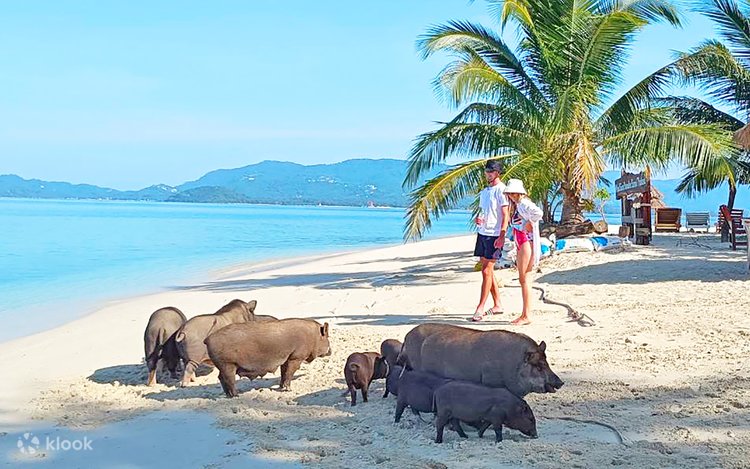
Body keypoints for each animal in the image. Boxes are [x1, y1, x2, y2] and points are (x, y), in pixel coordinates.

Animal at [399, 323, 563, 397]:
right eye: (539, 366)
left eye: (547, 363)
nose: (561, 382)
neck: (512, 363)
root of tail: (407, 335)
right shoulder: (490, 381)